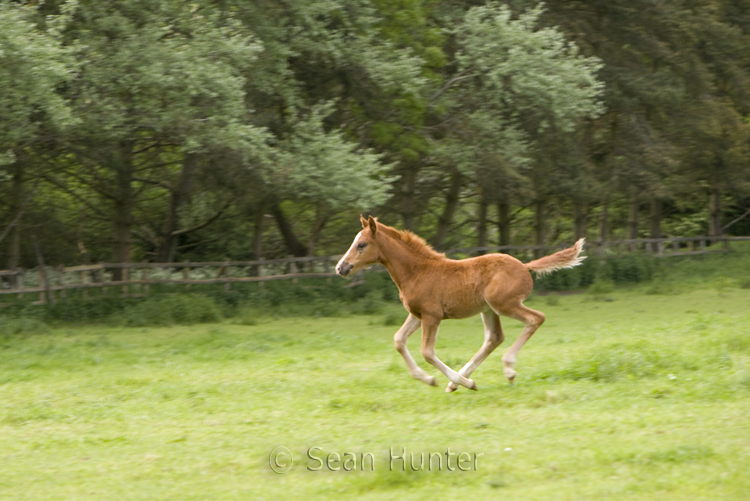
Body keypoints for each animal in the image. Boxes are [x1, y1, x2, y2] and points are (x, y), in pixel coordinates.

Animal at [336, 215, 588, 390]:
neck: (417, 271)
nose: (341, 267)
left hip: (503, 304)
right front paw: (429, 379)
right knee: (494, 338)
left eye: (361, 245)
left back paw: (505, 369)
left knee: (535, 318)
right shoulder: (417, 314)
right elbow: (398, 340)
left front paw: (463, 383)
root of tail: (525, 266)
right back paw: (456, 383)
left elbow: (427, 352)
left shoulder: (432, 316)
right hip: (488, 309)